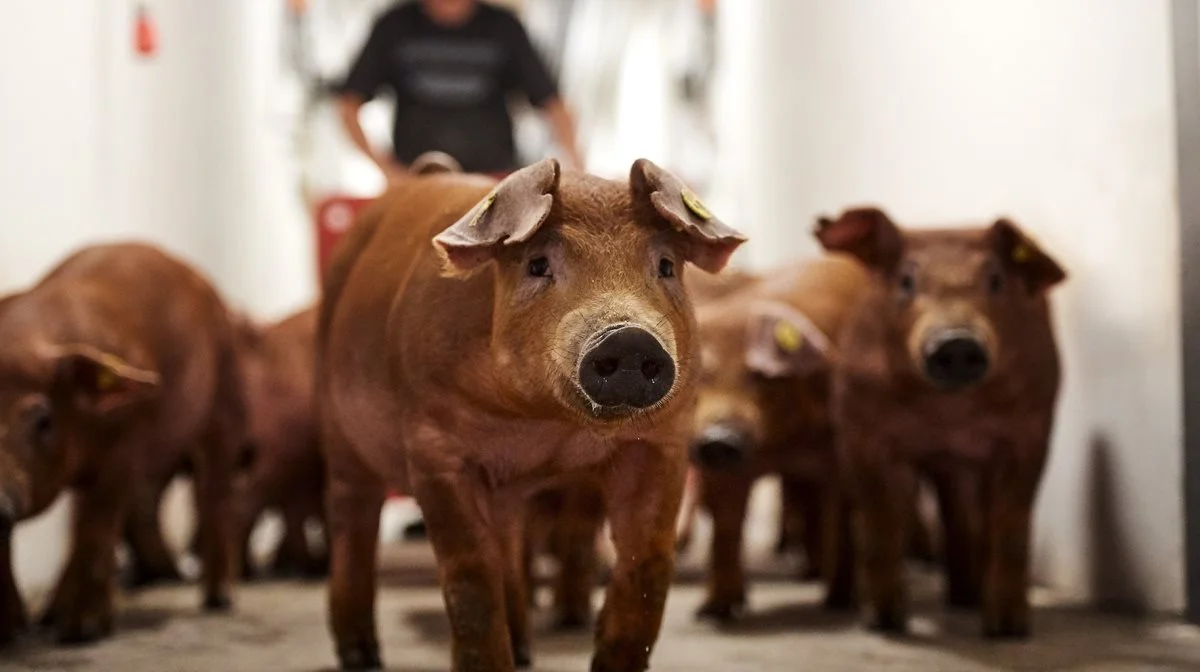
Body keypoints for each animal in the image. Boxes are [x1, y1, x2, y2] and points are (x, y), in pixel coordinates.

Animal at [0, 242, 241, 648]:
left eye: (43, 419)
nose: (0, 497)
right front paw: (12, 634)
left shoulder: (127, 446)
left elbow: (98, 526)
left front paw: (83, 632)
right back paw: (48, 616)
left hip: (223, 401)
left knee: (214, 492)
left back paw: (219, 599)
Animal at [316, 154, 739, 667]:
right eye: (538, 264)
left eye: (666, 265)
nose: (628, 338)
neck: (543, 424)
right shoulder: (434, 449)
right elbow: (469, 576)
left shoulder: (663, 441)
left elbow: (648, 564)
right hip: (338, 433)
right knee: (353, 519)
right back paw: (361, 655)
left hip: (506, 496)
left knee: (508, 546)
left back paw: (522, 651)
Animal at [820, 207, 1065, 638]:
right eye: (906, 280)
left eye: (995, 279)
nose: (957, 342)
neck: (949, 414)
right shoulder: (860, 430)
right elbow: (880, 521)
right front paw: (884, 623)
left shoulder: (1032, 431)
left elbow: (1011, 526)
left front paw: (1008, 629)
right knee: (849, 515)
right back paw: (837, 602)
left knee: (961, 517)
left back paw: (965, 598)